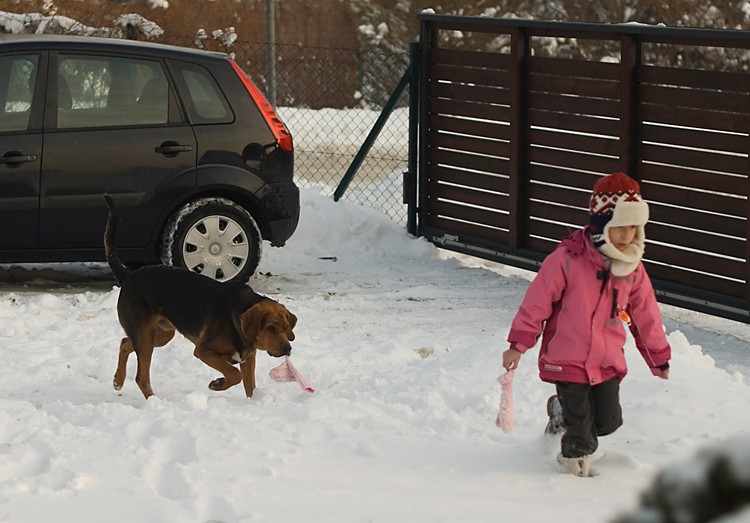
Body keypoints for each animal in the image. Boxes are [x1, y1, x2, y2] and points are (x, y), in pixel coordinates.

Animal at [103, 196, 296, 402]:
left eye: (286, 327)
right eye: (271, 328)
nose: (288, 349)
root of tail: (128, 275)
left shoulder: (248, 359)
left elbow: (250, 387)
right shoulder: (204, 351)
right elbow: (234, 374)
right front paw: (218, 383)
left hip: (160, 334)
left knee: (124, 342)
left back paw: (118, 380)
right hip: (145, 335)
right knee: (141, 377)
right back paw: (153, 400)